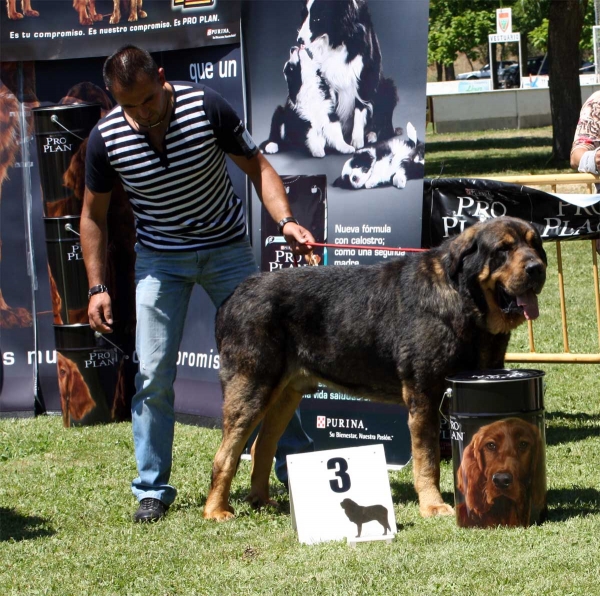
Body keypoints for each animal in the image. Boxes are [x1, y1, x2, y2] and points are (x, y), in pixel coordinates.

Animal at [204, 217, 548, 520]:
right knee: (227, 454)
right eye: (503, 249)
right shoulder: (424, 393)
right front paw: (434, 506)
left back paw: (261, 501)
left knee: (261, 447)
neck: (463, 300)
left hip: (286, 393)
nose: (537, 268)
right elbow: (427, 459)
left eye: (535, 245)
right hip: (252, 386)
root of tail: (233, 297)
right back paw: (217, 510)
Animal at [296, 0, 398, 148]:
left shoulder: (364, 77)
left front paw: (357, 141)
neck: (340, 38)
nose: (299, 40)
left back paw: (372, 135)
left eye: (317, 18)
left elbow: (359, 109)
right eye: (304, 15)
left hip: (388, 88)